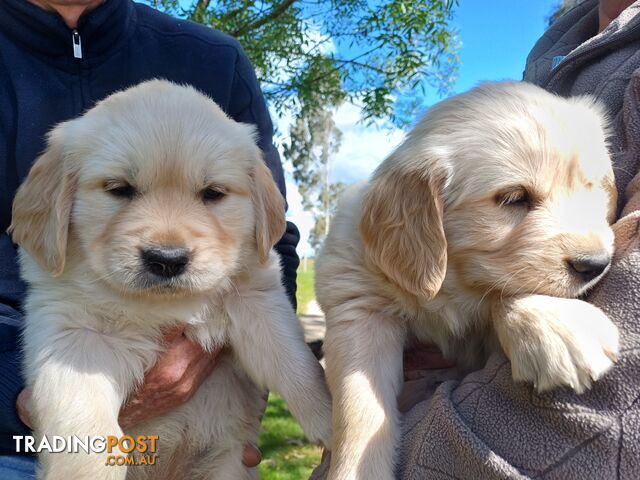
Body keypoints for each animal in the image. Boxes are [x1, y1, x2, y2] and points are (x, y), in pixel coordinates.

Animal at [8, 80, 330, 478]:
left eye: (213, 193)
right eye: (119, 189)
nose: (167, 260)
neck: (162, 306)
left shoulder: (257, 302)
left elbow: (296, 365)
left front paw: (337, 423)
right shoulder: (74, 338)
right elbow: (85, 430)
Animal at [318, 80, 624, 478]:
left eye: (591, 187)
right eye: (514, 198)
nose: (595, 264)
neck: (452, 282)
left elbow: (503, 290)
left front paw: (553, 320)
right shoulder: (358, 306)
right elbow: (359, 407)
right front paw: (357, 469)